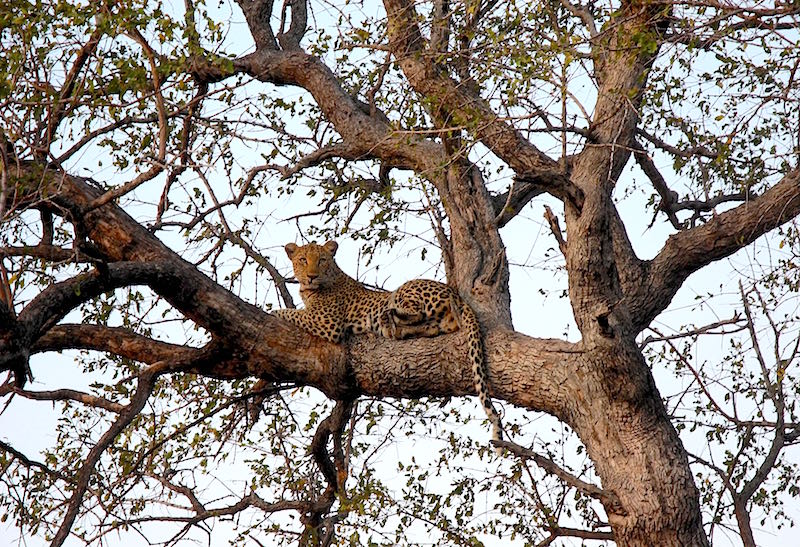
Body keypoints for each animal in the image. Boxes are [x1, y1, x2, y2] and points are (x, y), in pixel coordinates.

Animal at [272, 242, 504, 452]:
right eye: (303, 260)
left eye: (321, 260)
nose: (311, 276)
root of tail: (454, 293)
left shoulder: (326, 322)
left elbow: (292, 313)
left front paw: (274, 312)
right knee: (426, 326)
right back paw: (393, 326)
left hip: (407, 291)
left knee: (411, 310)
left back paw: (388, 315)